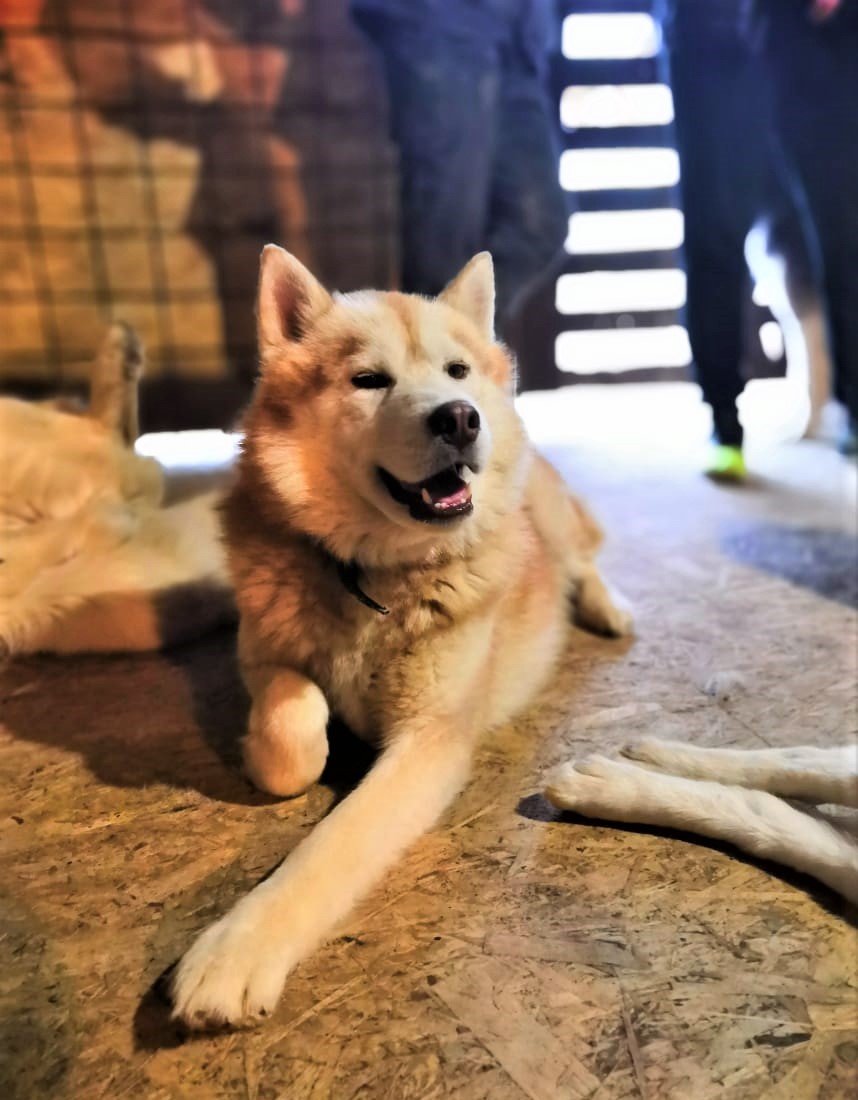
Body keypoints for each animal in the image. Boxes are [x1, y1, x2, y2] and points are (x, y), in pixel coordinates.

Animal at [168, 246, 632, 1028]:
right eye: (369, 380)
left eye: (456, 371)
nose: (460, 418)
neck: (374, 573)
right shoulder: (260, 650)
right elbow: (295, 728)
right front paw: (275, 751)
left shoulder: (429, 742)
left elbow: (331, 848)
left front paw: (238, 949)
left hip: (549, 515)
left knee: (585, 560)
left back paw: (608, 608)